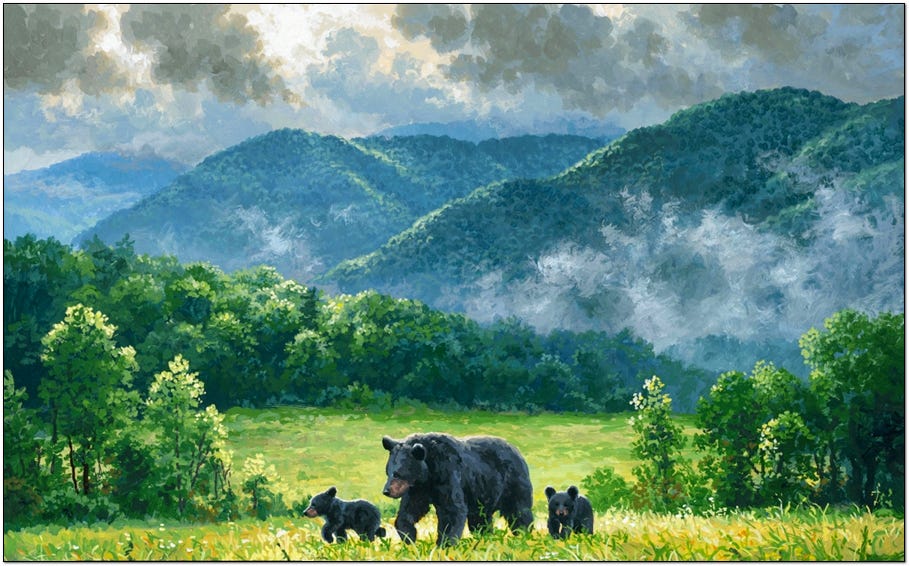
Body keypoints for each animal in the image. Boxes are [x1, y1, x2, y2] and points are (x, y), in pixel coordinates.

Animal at [382, 432, 534, 546]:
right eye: (387, 472)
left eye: (398, 474)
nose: (386, 491)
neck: (429, 473)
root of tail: (517, 451)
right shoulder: (419, 489)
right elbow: (410, 509)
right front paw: (410, 537)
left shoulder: (449, 475)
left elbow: (452, 510)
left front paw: (444, 544)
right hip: (482, 494)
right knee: (480, 519)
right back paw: (485, 538)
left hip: (513, 483)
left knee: (519, 511)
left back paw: (523, 535)